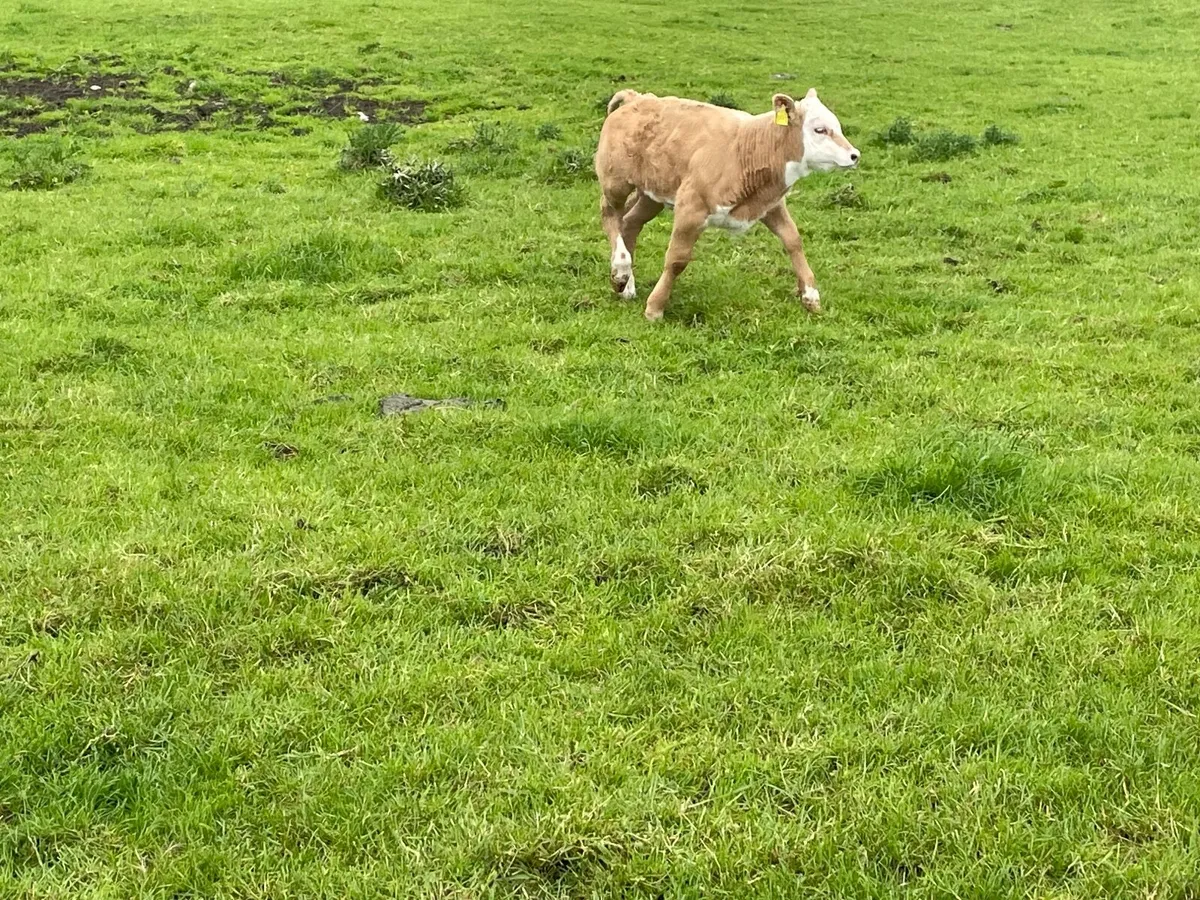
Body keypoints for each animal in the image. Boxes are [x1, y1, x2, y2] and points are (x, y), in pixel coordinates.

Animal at [594, 88, 859, 321]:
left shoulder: (771, 205)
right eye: (819, 129)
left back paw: (625, 284)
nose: (854, 155)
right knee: (610, 213)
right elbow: (677, 259)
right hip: (616, 181)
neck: (748, 148)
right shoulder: (691, 208)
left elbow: (793, 241)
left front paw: (811, 296)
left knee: (630, 222)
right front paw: (655, 308)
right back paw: (621, 268)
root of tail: (637, 97)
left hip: (652, 194)